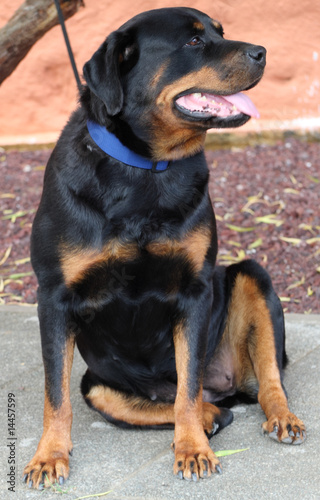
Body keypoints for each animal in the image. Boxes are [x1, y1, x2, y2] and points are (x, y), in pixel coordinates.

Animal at [24, 4, 304, 488]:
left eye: (220, 32)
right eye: (193, 41)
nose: (262, 52)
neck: (146, 169)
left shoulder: (194, 291)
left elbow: (187, 387)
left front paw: (192, 449)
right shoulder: (54, 297)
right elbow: (54, 393)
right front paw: (49, 455)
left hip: (253, 276)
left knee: (262, 380)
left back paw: (277, 416)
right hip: (98, 385)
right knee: (175, 405)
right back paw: (212, 416)